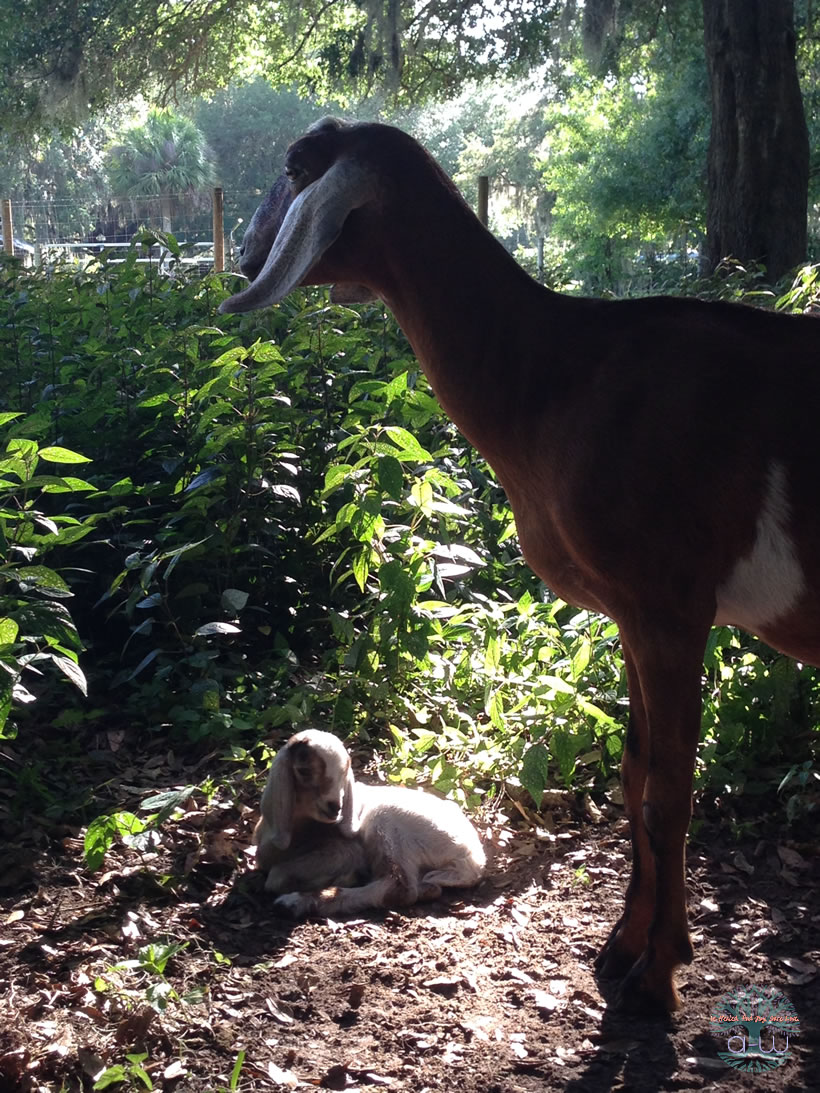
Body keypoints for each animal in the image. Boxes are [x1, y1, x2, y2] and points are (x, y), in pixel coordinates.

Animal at [255, 730, 487, 918]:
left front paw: (346, 877)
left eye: (345, 772)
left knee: (399, 888)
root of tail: (474, 858)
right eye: (303, 771)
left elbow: (275, 877)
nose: (335, 807)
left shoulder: (345, 852)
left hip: (388, 820)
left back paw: (295, 902)